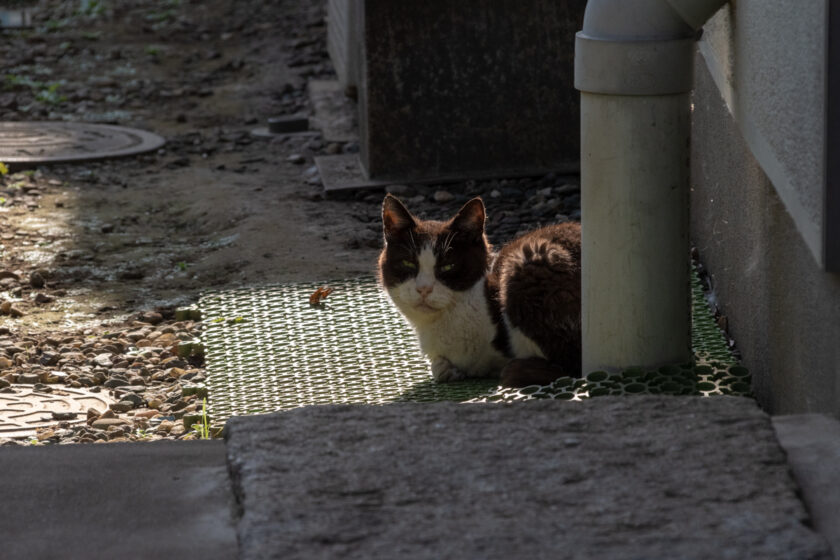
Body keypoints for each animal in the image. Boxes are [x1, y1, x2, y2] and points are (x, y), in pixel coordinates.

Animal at [378, 195, 580, 388]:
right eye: (408, 263)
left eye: (448, 266)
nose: (424, 289)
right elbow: (439, 366)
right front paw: (447, 369)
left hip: (531, 258)